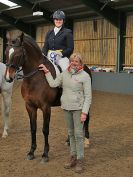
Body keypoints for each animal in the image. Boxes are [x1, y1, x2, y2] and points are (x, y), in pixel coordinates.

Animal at [4, 32, 91, 162]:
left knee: (86, 118)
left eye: (18, 54)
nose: (8, 78)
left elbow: (45, 130)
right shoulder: (29, 106)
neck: (35, 78)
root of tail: (85, 66)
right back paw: (68, 141)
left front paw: (45, 154)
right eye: (6, 52)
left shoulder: (46, 107)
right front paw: (31, 152)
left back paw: (86, 141)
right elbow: (33, 128)